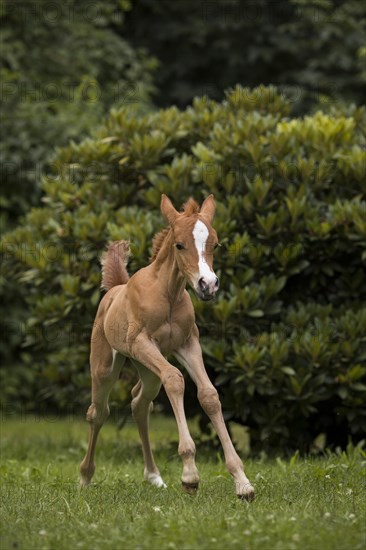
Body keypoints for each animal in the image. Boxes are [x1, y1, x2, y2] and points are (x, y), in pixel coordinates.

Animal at [81, 196, 254, 502]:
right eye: (179, 245)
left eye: (215, 245)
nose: (208, 285)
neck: (168, 292)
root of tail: (115, 289)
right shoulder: (140, 341)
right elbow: (175, 379)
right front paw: (190, 476)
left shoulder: (188, 343)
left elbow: (209, 394)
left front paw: (242, 482)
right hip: (105, 367)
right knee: (98, 412)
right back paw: (86, 477)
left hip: (148, 369)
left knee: (140, 403)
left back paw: (153, 476)